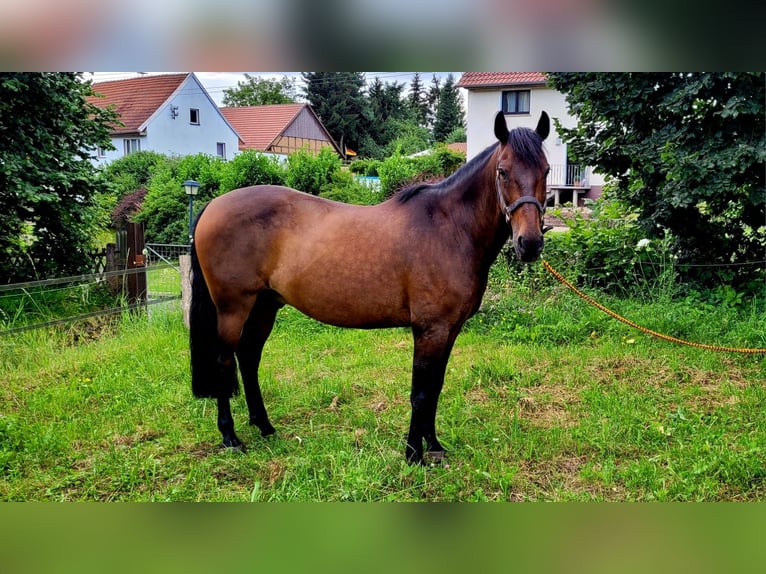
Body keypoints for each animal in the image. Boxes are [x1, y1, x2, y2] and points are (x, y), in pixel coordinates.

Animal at [192, 110, 552, 466]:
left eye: (546, 170)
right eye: (503, 172)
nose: (530, 243)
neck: (450, 228)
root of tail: (212, 206)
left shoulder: (449, 330)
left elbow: (435, 386)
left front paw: (434, 446)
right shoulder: (430, 329)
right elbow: (421, 392)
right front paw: (413, 454)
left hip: (265, 305)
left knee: (249, 357)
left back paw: (265, 426)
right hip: (233, 308)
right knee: (225, 362)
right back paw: (230, 437)